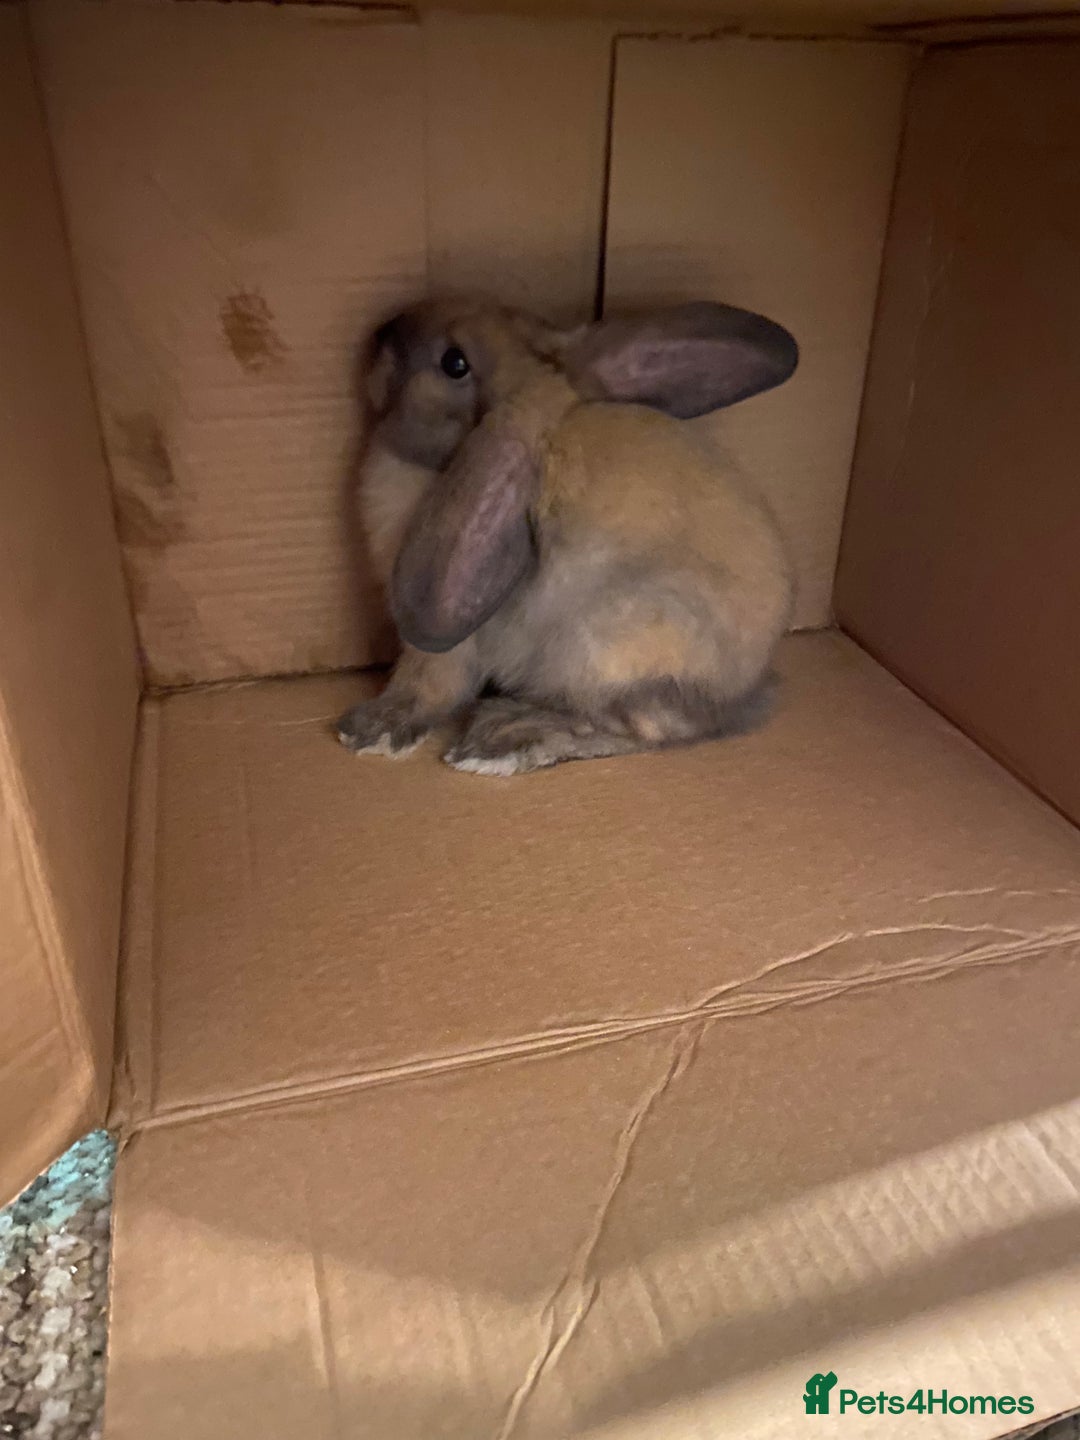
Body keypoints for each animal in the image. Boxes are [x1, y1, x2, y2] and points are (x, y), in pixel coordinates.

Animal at [337, 294, 798, 776]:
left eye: (454, 362)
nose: (382, 332)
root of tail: (742, 696)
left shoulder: (444, 648)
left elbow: (424, 685)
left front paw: (369, 730)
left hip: (603, 642)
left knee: (641, 728)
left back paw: (505, 735)